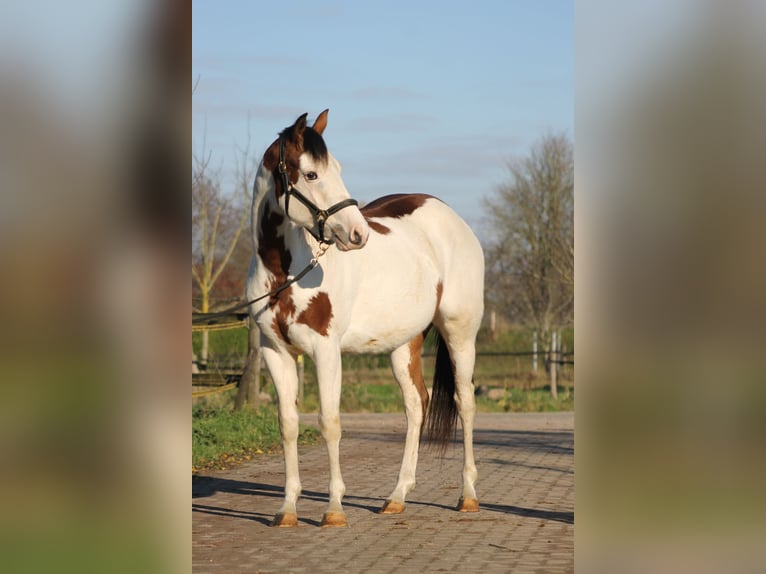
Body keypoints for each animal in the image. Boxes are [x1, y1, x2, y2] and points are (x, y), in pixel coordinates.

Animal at [248, 110, 486, 528]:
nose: (358, 233)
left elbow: (329, 422)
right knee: (416, 404)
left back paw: (468, 495)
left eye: (338, 169)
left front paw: (333, 510)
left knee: (465, 401)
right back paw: (397, 496)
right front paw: (287, 509)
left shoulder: (326, 350)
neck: (284, 271)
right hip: (404, 343)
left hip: (460, 334)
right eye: (311, 174)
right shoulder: (275, 351)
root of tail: (452, 218)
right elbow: (288, 425)